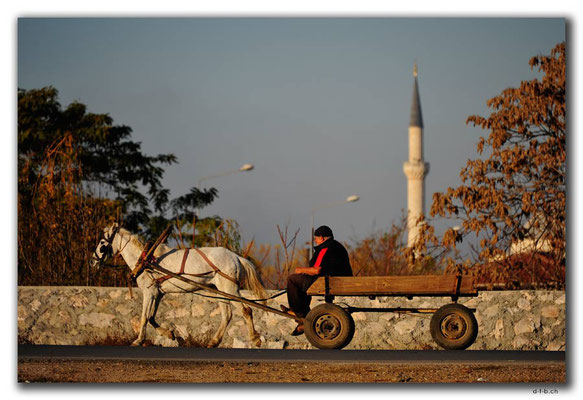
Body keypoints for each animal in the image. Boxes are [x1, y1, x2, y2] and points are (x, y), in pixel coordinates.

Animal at [90, 223, 268, 348]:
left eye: (102, 243)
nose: (92, 261)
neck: (146, 260)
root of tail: (236, 257)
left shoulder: (149, 292)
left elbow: (144, 317)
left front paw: (138, 340)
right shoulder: (158, 293)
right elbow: (152, 317)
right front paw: (170, 334)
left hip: (229, 289)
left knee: (246, 310)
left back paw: (255, 339)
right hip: (221, 291)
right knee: (227, 315)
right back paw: (214, 341)